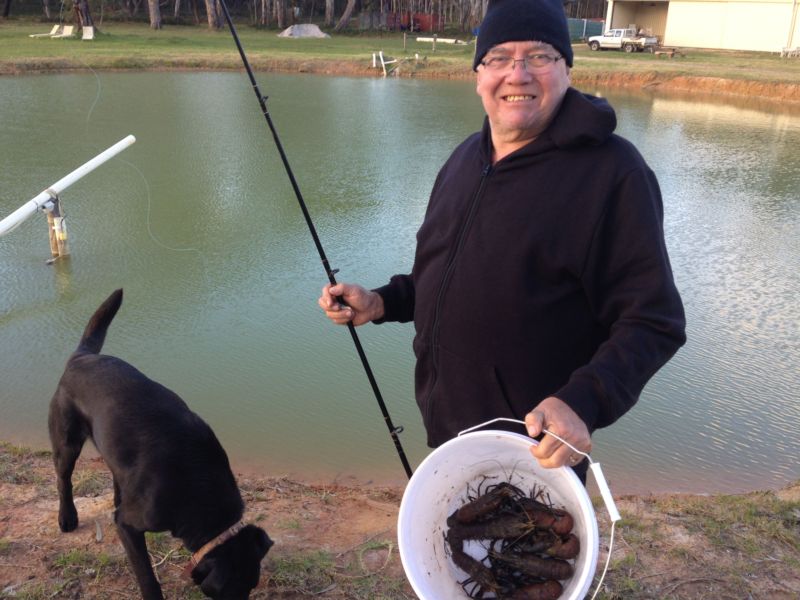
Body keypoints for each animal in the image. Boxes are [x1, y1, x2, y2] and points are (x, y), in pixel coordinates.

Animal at [50, 288, 276, 596]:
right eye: (230, 592)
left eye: (251, 587)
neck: (196, 487)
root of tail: (81, 357)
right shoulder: (130, 526)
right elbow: (146, 575)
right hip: (66, 441)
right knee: (64, 479)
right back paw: (67, 517)